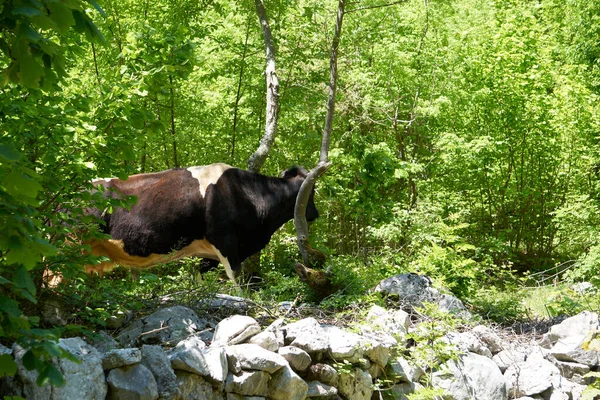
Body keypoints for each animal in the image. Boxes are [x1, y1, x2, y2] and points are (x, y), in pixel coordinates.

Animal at [85, 162, 318, 284]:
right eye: (312, 191)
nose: (315, 214)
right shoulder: (224, 240)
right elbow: (236, 279)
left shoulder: (211, 252)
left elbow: (201, 276)